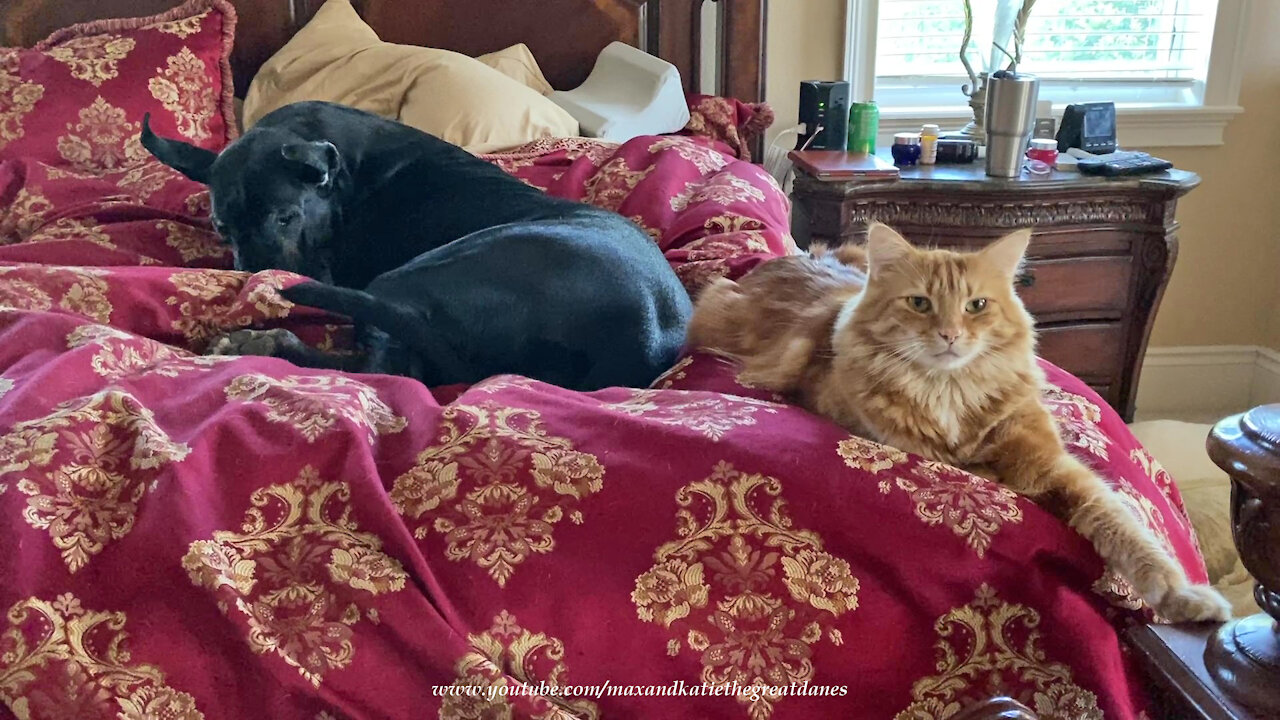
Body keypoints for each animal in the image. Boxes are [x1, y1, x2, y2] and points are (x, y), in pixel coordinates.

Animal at [142, 102, 691, 386]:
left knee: (385, 371)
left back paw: (261, 342)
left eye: (286, 216)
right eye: (221, 227)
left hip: (408, 277)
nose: (254, 275)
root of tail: (640, 340)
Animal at [691, 221, 1228, 620]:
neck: (948, 391)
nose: (949, 335)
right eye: (919, 303)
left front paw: (1182, 597)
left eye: (977, 305)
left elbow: (1126, 528)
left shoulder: (1052, 464)